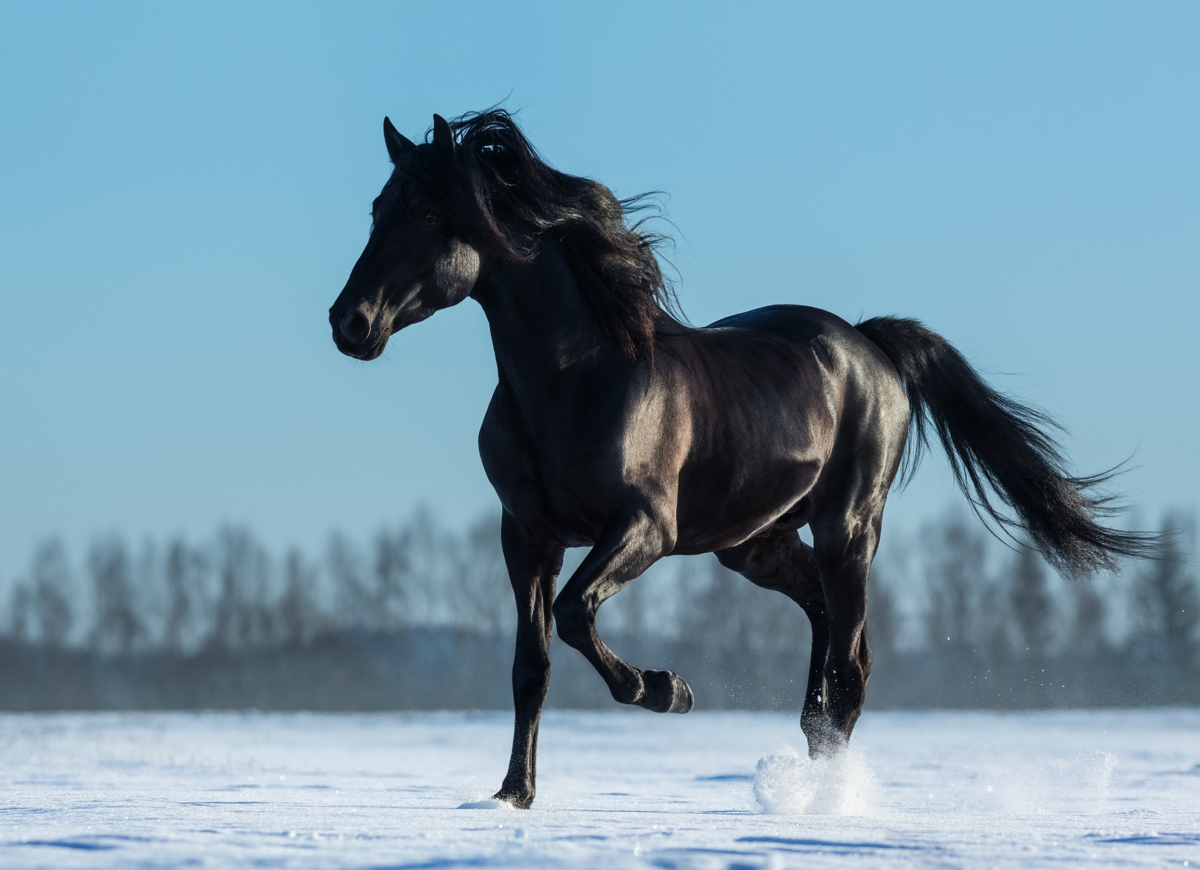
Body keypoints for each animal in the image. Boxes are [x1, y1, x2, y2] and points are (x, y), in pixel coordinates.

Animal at [328, 108, 1152, 806]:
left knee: (851, 666)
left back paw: (827, 797)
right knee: (823, 630)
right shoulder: (526, 535)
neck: (572, 380)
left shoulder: (643, 529)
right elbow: (531, 665)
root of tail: (869, 344)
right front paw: (512, 797)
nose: (349, 323)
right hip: (755, 543)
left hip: (849, 527)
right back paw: (808, 766)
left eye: (428, 214)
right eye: (376, 208)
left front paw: (668, 690)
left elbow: (573, 615)